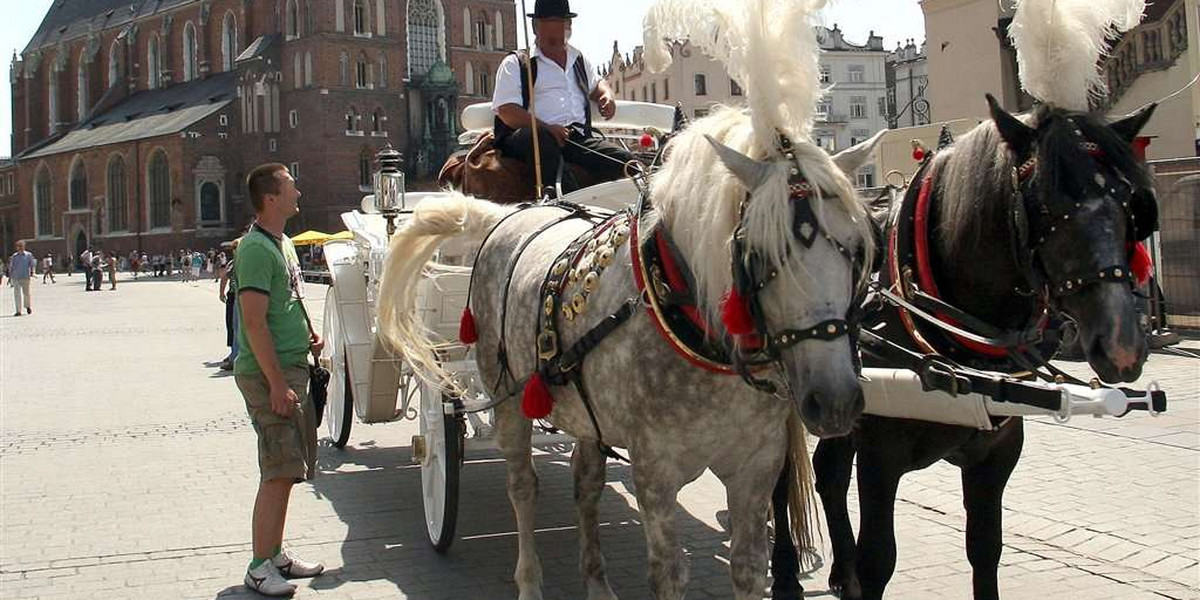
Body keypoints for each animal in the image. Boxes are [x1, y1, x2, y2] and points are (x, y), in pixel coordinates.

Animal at [772, 96, 1156, 600]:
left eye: (1129, 201)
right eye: (1045, 203)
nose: (1122, 344)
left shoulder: (996, 455)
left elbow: (986, 548)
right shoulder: (880, 457)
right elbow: (880, 560)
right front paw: (857, 569)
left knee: (830, 475)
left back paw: (842, 571)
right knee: (776, 482)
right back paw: (784, 576)